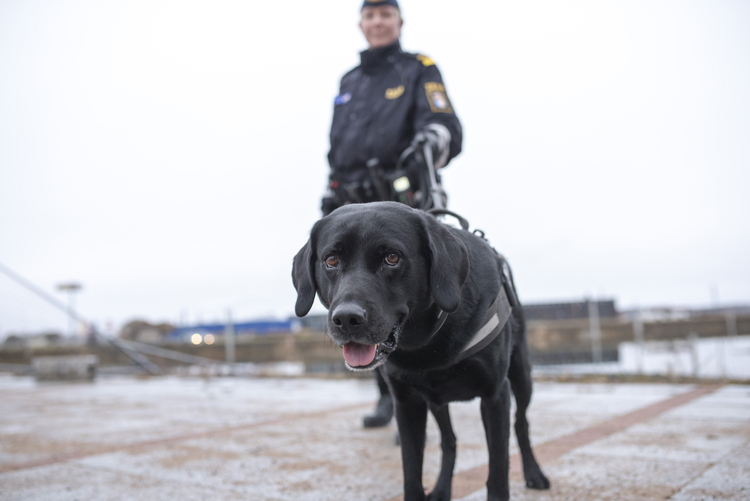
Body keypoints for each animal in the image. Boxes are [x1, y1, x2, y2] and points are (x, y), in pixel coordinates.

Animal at [296, 201, 552, 498]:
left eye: (392, 258)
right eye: (331, 260)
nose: (347, 319)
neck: (427, 343)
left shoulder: (495, 395)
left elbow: (498, 473)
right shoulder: (407, 403)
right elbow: (412, 473)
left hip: (521, 377)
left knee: (521, 424)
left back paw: (534, 473)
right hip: (436, 401)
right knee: (449, 440)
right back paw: (441, 490)